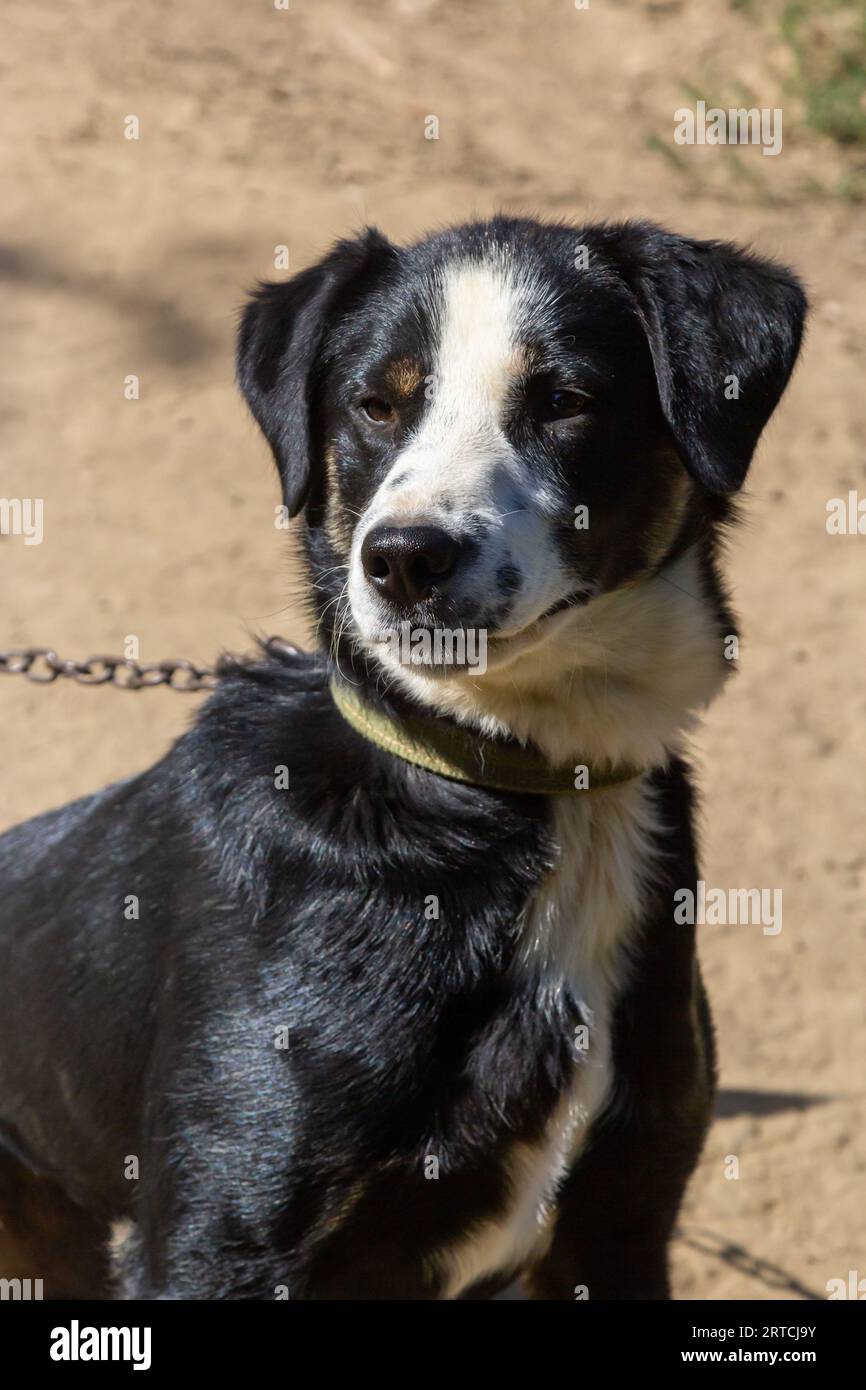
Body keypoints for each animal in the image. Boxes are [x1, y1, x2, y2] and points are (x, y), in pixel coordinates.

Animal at [0, 216, 806, 1301]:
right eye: (375, 404)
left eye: (565, 401)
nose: (403, 559)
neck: (515, 780)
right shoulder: (220, 1241)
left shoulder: (621, 1224)